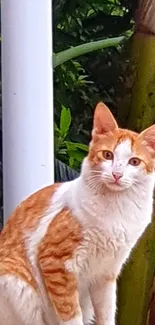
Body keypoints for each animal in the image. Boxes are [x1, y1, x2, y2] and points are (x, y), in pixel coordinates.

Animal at [0, 102, 155, 324]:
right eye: (108, 155)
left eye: (134, 162)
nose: (116, 174)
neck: (117, 210)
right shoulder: (57, 265)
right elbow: (71, 314)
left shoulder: (105, 274)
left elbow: (107, 313)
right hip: (18, 285)